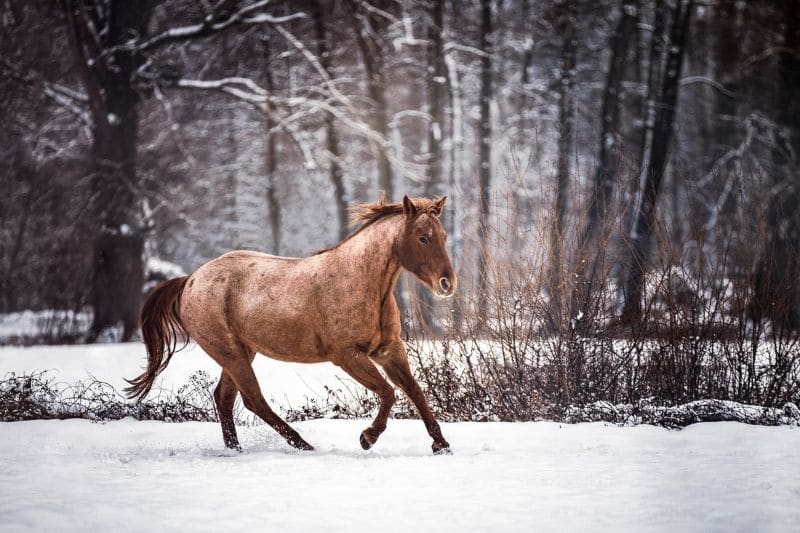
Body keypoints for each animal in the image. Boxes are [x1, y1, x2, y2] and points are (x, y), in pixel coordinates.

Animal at [129, 195, 460, 454]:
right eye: (423, 238)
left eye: (444, 236)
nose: (447, 284)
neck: (361, 281)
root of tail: (190, 280)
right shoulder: (348, 356)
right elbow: (389, 392)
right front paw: (368, 437)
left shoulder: (389, 350)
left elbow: (415, 391)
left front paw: (441, 445)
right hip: (230, 353)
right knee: (253, 401)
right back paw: (302, 444)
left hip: (240, 353)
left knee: (224, 398)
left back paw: (236, 449)